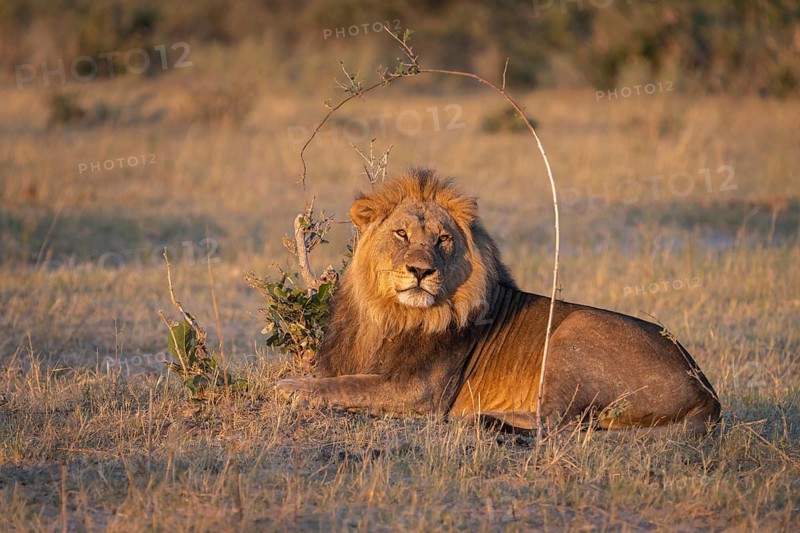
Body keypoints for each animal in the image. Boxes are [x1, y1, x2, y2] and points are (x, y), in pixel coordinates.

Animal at [278, 168, 720, 435]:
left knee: (557, 423)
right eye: (401, 234)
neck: (390, 315)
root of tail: (709, 397)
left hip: (574, 330)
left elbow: (345, 386)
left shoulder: (417, 393)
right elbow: (336, 378)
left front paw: (290, 388)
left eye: (443, 239)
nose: (420, 271)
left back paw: (481, 415)